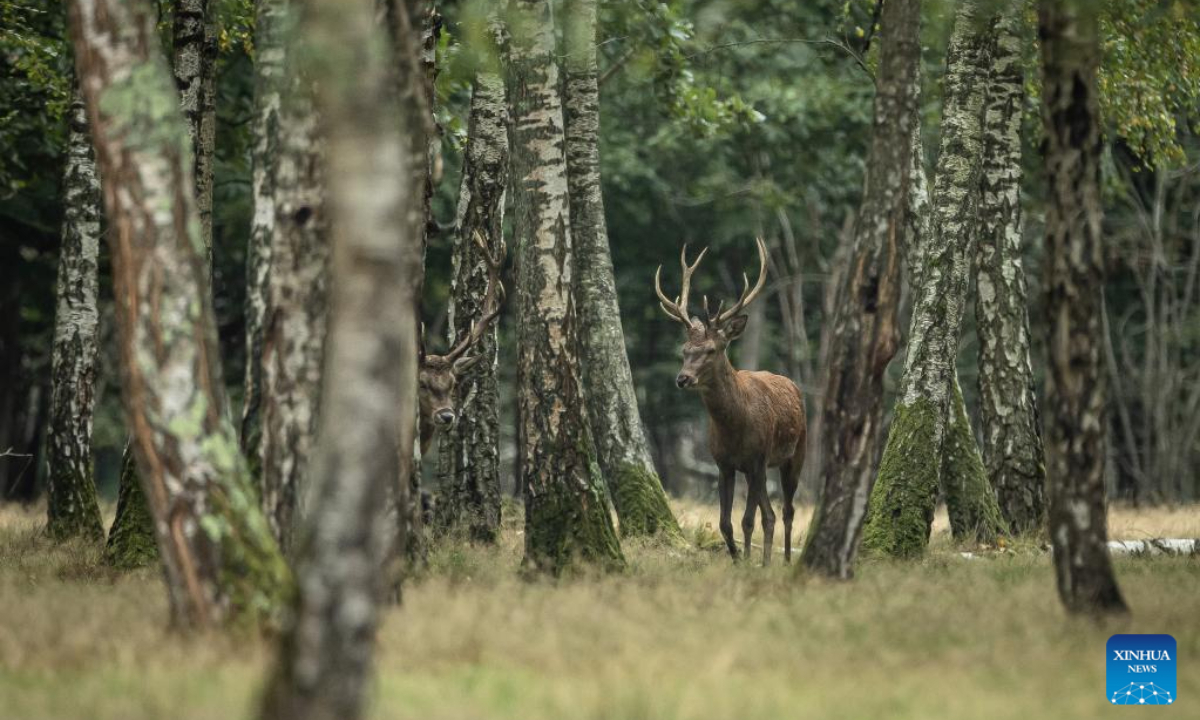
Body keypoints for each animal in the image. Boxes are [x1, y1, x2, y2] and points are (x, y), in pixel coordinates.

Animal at [655, 237, 807, 564]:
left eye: (711, 349)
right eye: (684, 349)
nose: (682, 379)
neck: (735, 427)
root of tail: (792, 383)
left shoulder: (757, 459)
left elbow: (747, 520)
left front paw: (747, 561)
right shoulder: (723, 464)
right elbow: (726, 523)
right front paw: (740, 560)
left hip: (796, 452)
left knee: (787, 511)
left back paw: (787, 560)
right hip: (758, 470)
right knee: (770, 515)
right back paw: (766, 562)